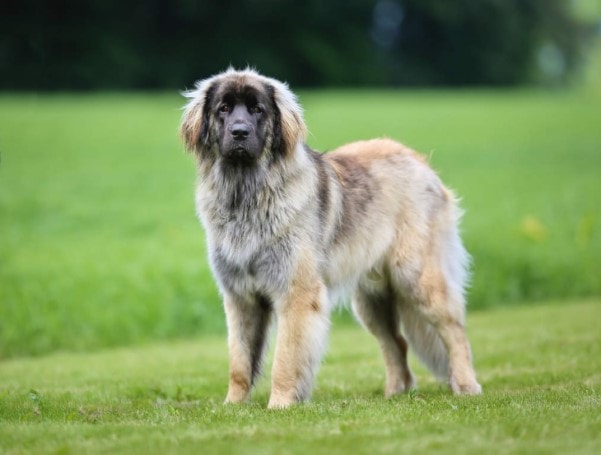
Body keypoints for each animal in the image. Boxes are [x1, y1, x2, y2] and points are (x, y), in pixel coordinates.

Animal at [180, 68, 480, 410]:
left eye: (257, 110)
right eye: (224, 109)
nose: (239, 132)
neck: (247, 195)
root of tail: (420, 163)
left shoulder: (296, 293)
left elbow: (285, 359)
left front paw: (280, 403)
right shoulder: (240, 298)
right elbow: (239, 362)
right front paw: (233, 405)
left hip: (417, 277)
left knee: (453, 329)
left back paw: (466, 385)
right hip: (371, 302)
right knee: (396, 343)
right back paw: (395, 392)